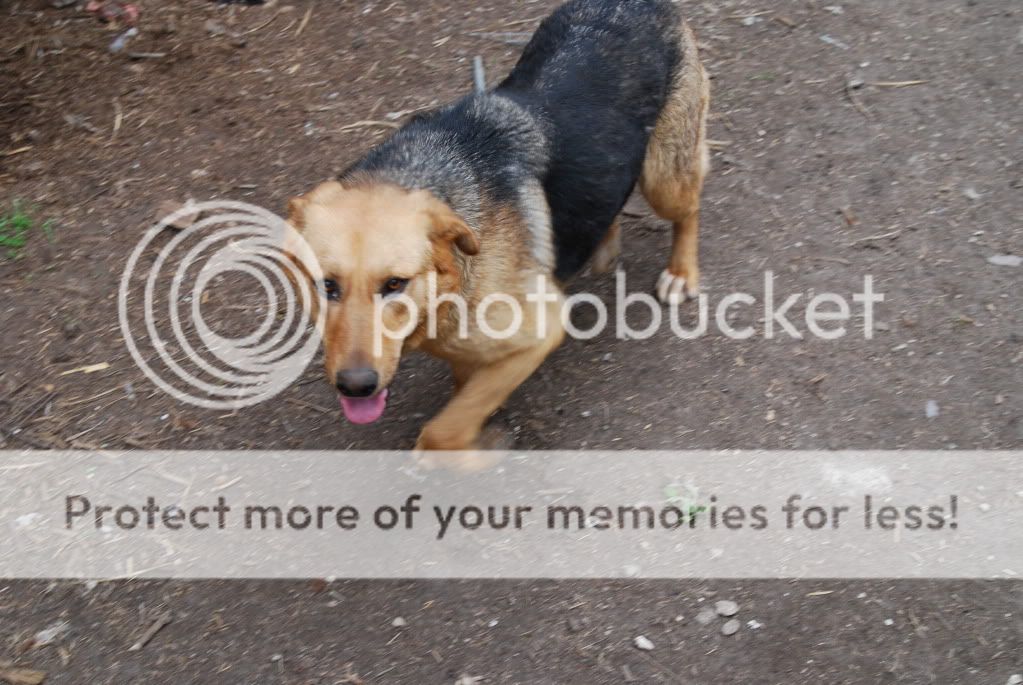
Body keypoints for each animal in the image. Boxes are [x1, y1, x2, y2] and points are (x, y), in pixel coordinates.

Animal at [284, 0, 707, 453]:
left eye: (394, 284)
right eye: (326, 286)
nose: (355, 387)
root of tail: (637, 4)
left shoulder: (540, 330)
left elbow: (442, 431)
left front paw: (479, 447)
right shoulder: (467, 352)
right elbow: (464, 396)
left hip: (664, 179)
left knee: (689, 207)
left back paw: (681, 272)